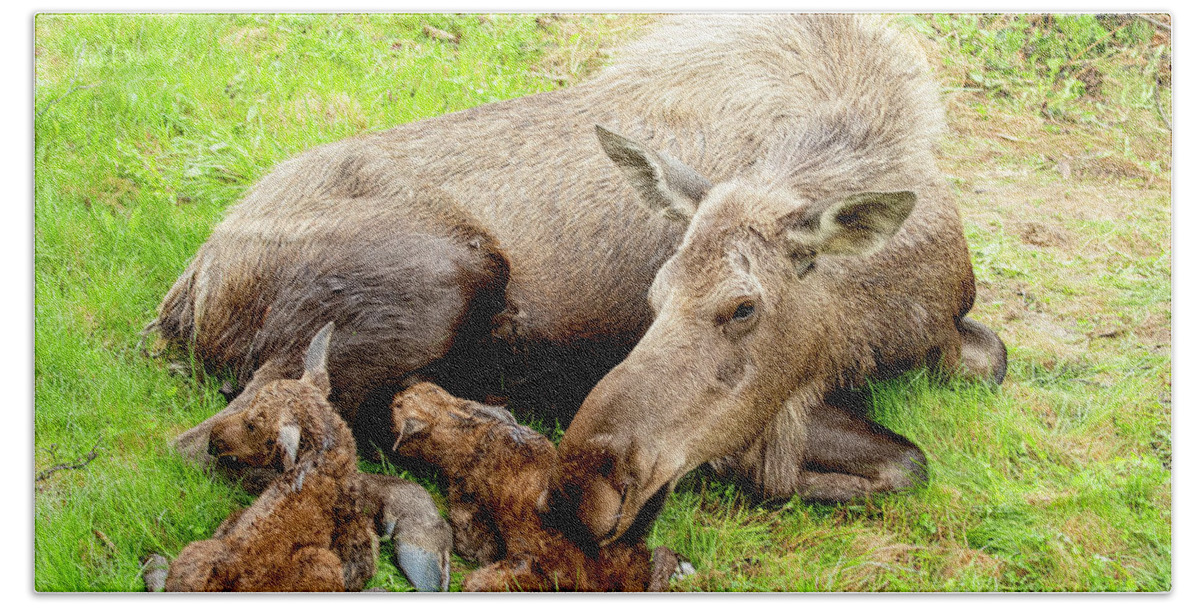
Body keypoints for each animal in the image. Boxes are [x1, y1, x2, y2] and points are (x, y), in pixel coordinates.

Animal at [154, 16, 1008, 544]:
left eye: (743, 307)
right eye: (654, 296)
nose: (593, 477)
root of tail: (188, 291)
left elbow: (986, 364)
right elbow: (903, 460)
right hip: (450, 274)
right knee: (218, 443)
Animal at [391, 383, 686, 592]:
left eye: (398, 405)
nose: (396, 394)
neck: (463, 425)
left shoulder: (464, 491)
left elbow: (469, 533)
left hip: (541, 563)